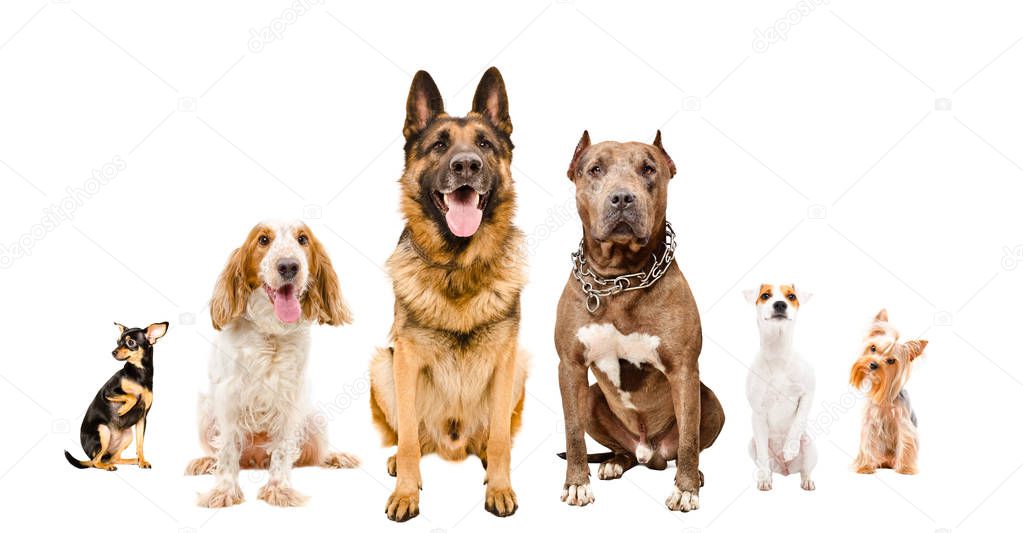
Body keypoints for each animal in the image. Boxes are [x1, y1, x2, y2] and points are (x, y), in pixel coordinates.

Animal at [368, 65, 527, 519]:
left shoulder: (506, 359)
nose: (466, 165)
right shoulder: (404, 360)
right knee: (415, 438)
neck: (458, 268)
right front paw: (405, 493)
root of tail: (452, 444)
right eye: (439, 145)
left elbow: (499, 438)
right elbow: (406, 440)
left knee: (490, 437)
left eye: (485, 144)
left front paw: (500, 487)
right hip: (381, 366)